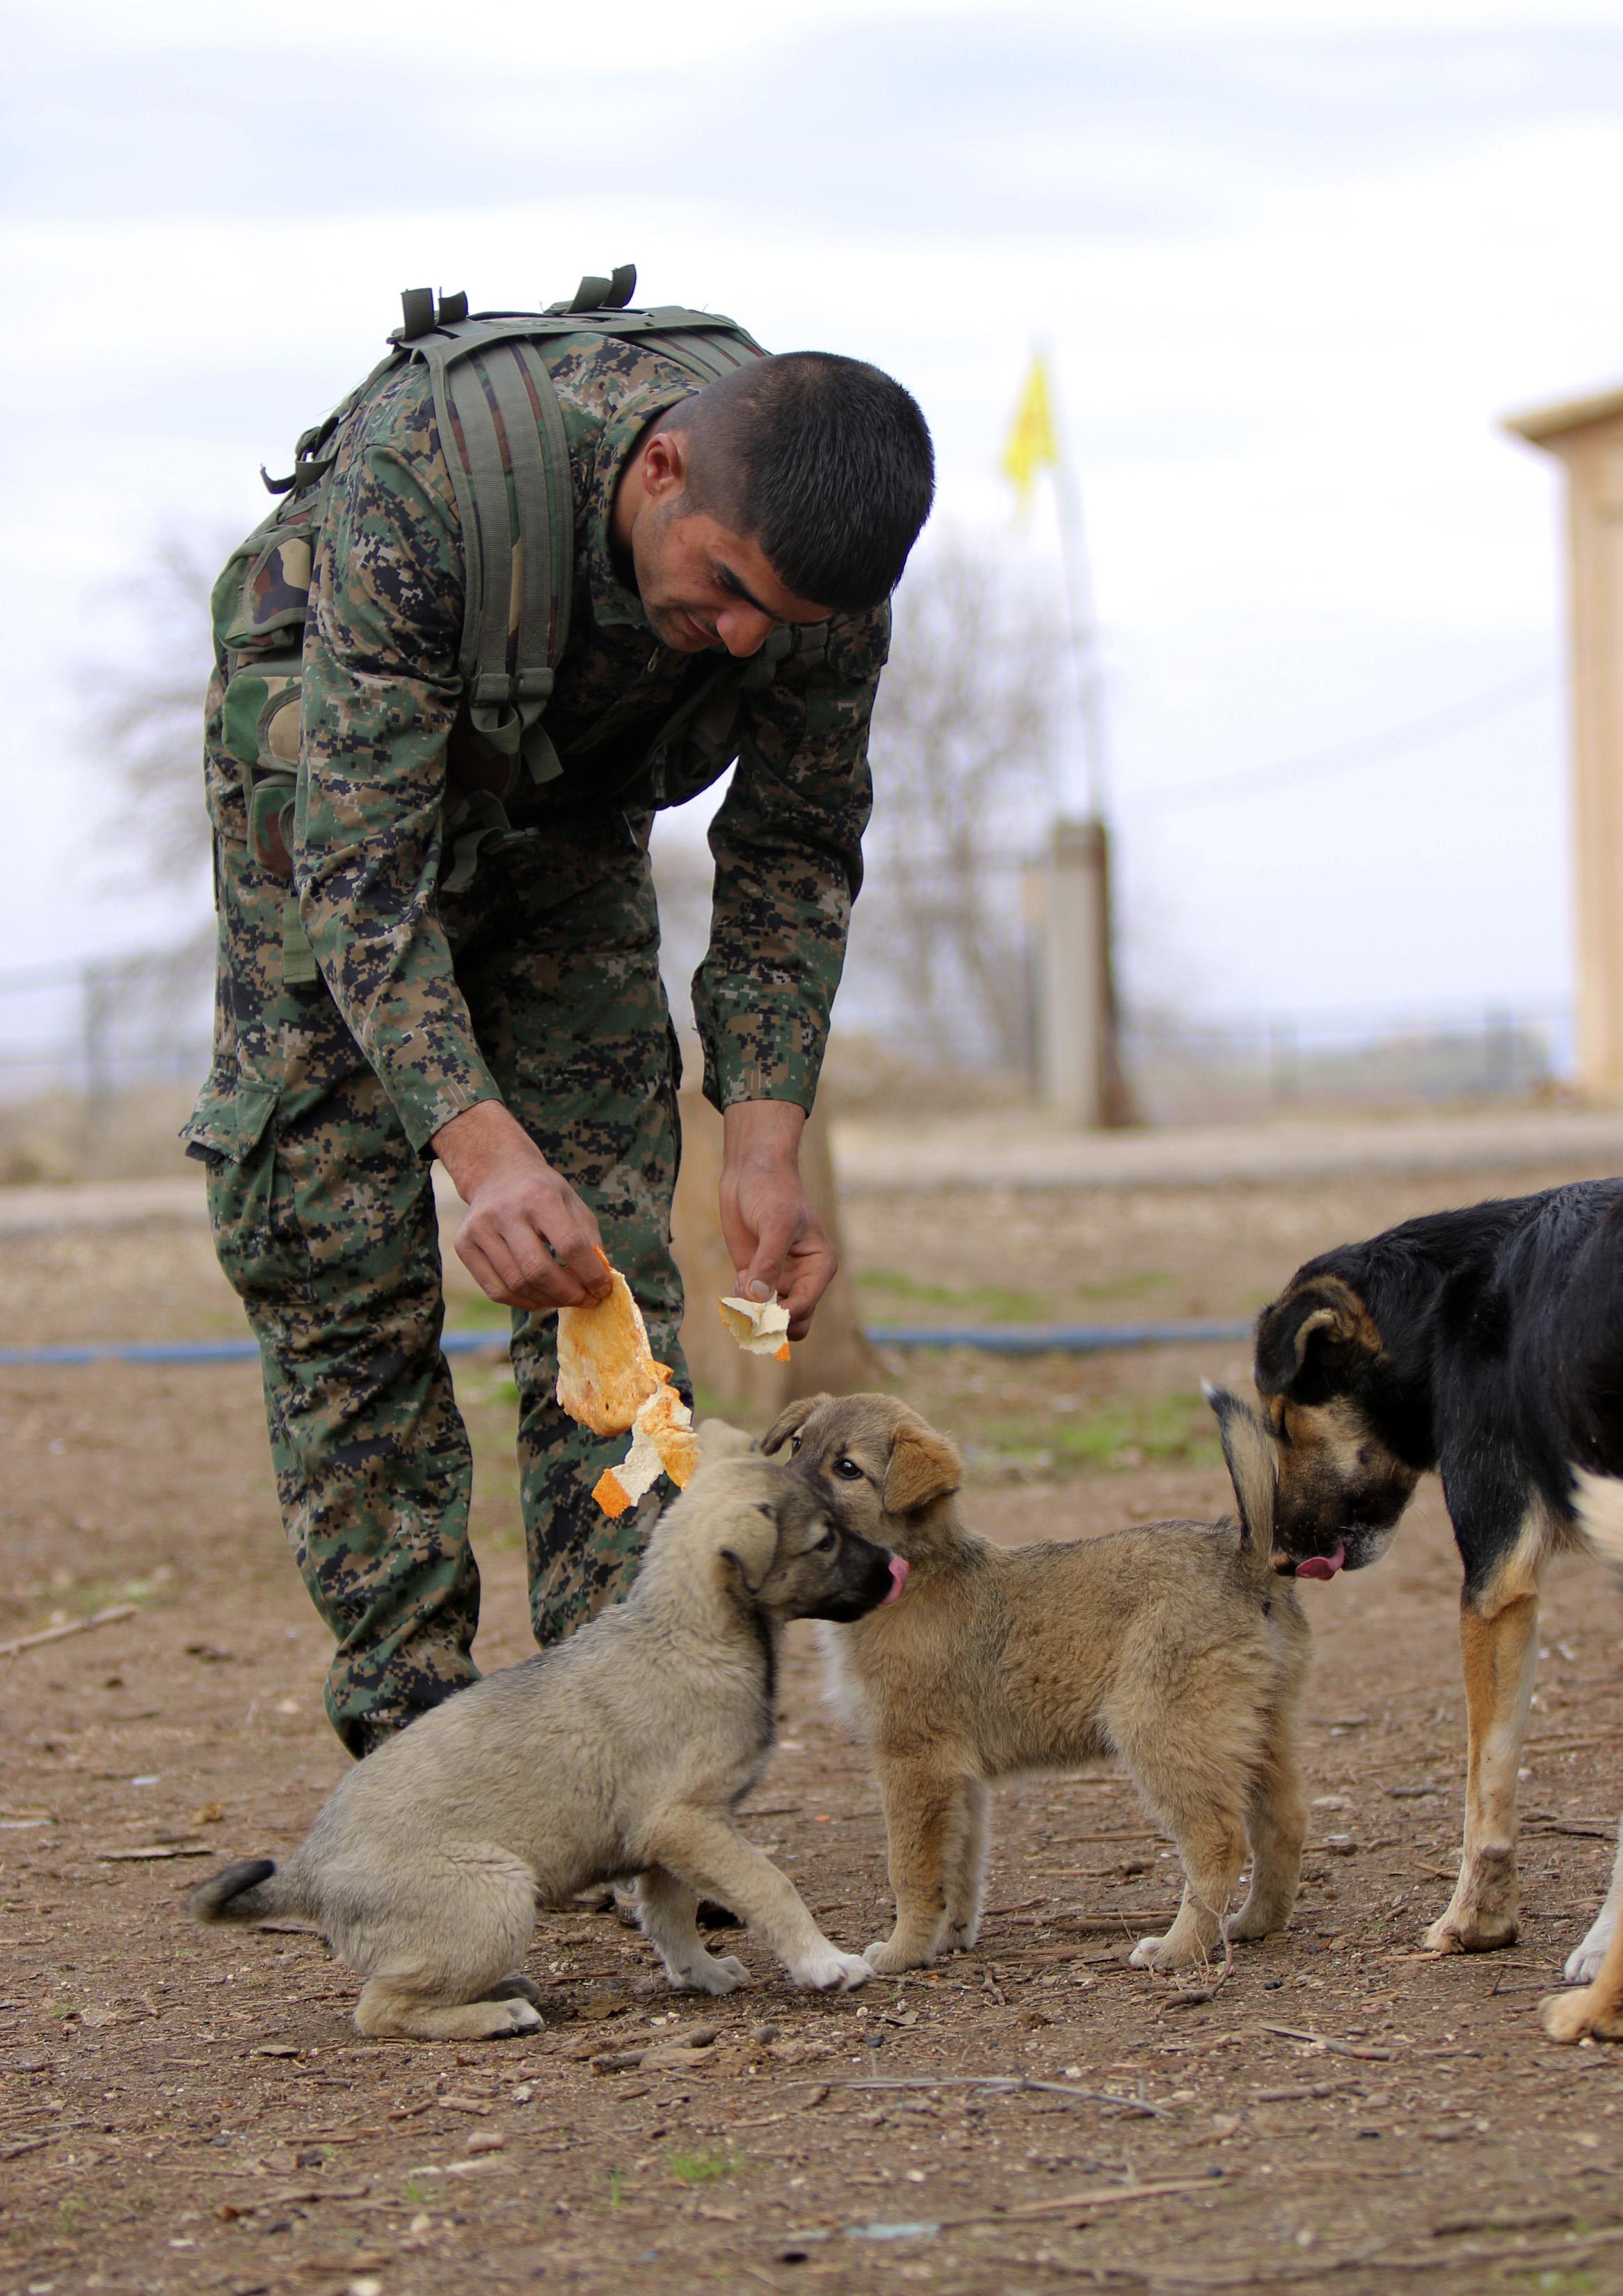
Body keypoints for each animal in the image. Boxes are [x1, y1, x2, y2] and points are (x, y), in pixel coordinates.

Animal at [193, 1451, 900, 2048]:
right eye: (825, 1541)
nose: (895, 1568)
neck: (695, 1633)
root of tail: (306, 1873)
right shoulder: (686, 1823)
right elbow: (768, 1884)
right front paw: (824, 1962)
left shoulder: (667, 1841)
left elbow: (671, 1917)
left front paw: (698, 1973)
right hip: (496, 1893)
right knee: (379, 2010)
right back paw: (498, 2014)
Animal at [767, 1378, 1313, 1975]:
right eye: (797, 1444)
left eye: (847, 1469)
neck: (916, 1569)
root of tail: (1244, 1561)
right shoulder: (959, 1778)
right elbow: (959, 1871)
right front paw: (946, 1939)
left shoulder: (915, 1764)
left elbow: (911, 1870)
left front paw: (901, 1952)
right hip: (1259, 1732)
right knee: (1282, 1826)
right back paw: (1253, 1924)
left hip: (1163, 1731)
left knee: (1218, 1842)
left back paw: (1178, 1948)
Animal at [1258, 1175, 1623, 2039]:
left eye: (1280, 1422)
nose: (1281, 1560)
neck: (1441, 1304)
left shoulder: (1493, 1579)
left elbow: (1482, 1784)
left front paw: (1474, 1921)